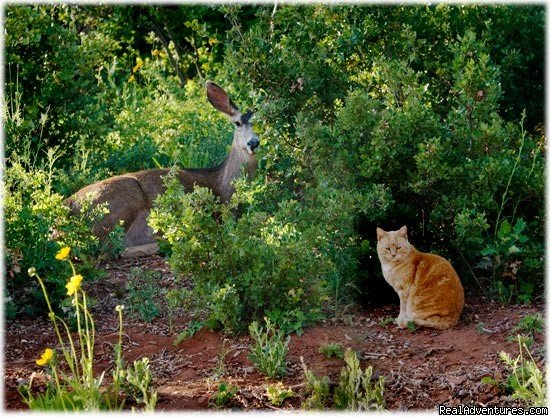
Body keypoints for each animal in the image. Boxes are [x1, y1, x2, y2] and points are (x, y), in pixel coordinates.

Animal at [65, 80, 260, 256]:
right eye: (237, 123)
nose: (254, 143)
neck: (224, 186)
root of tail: (69, 206)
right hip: (119, 205)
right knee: (109, 249)